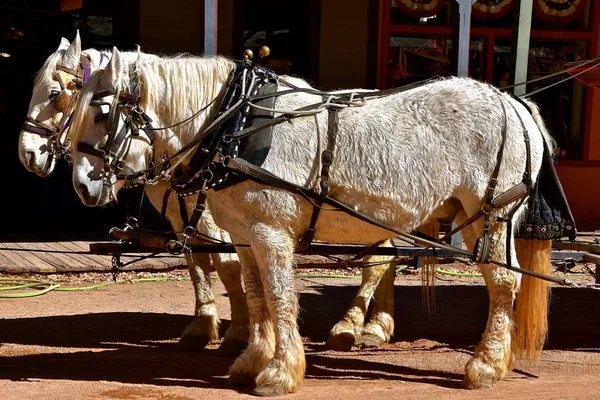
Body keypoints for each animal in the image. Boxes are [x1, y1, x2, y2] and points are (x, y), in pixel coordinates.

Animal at [17, 33, 248, 354]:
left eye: (53, 94)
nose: (26, 153)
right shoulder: (180, 213)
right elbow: (197, 261)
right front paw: (202, 325)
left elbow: (228, 263)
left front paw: (240, 333)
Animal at [68, 48, 552, 396]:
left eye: (102, 111)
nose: (82, 187)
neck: (238, 125)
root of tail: (512, 101)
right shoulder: (244, 236)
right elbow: (257, 297)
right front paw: (252, 361)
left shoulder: (271, 234)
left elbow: (280, 298)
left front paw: (280, 372)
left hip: (490, 215)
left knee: (503, 284)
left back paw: (485, 364)